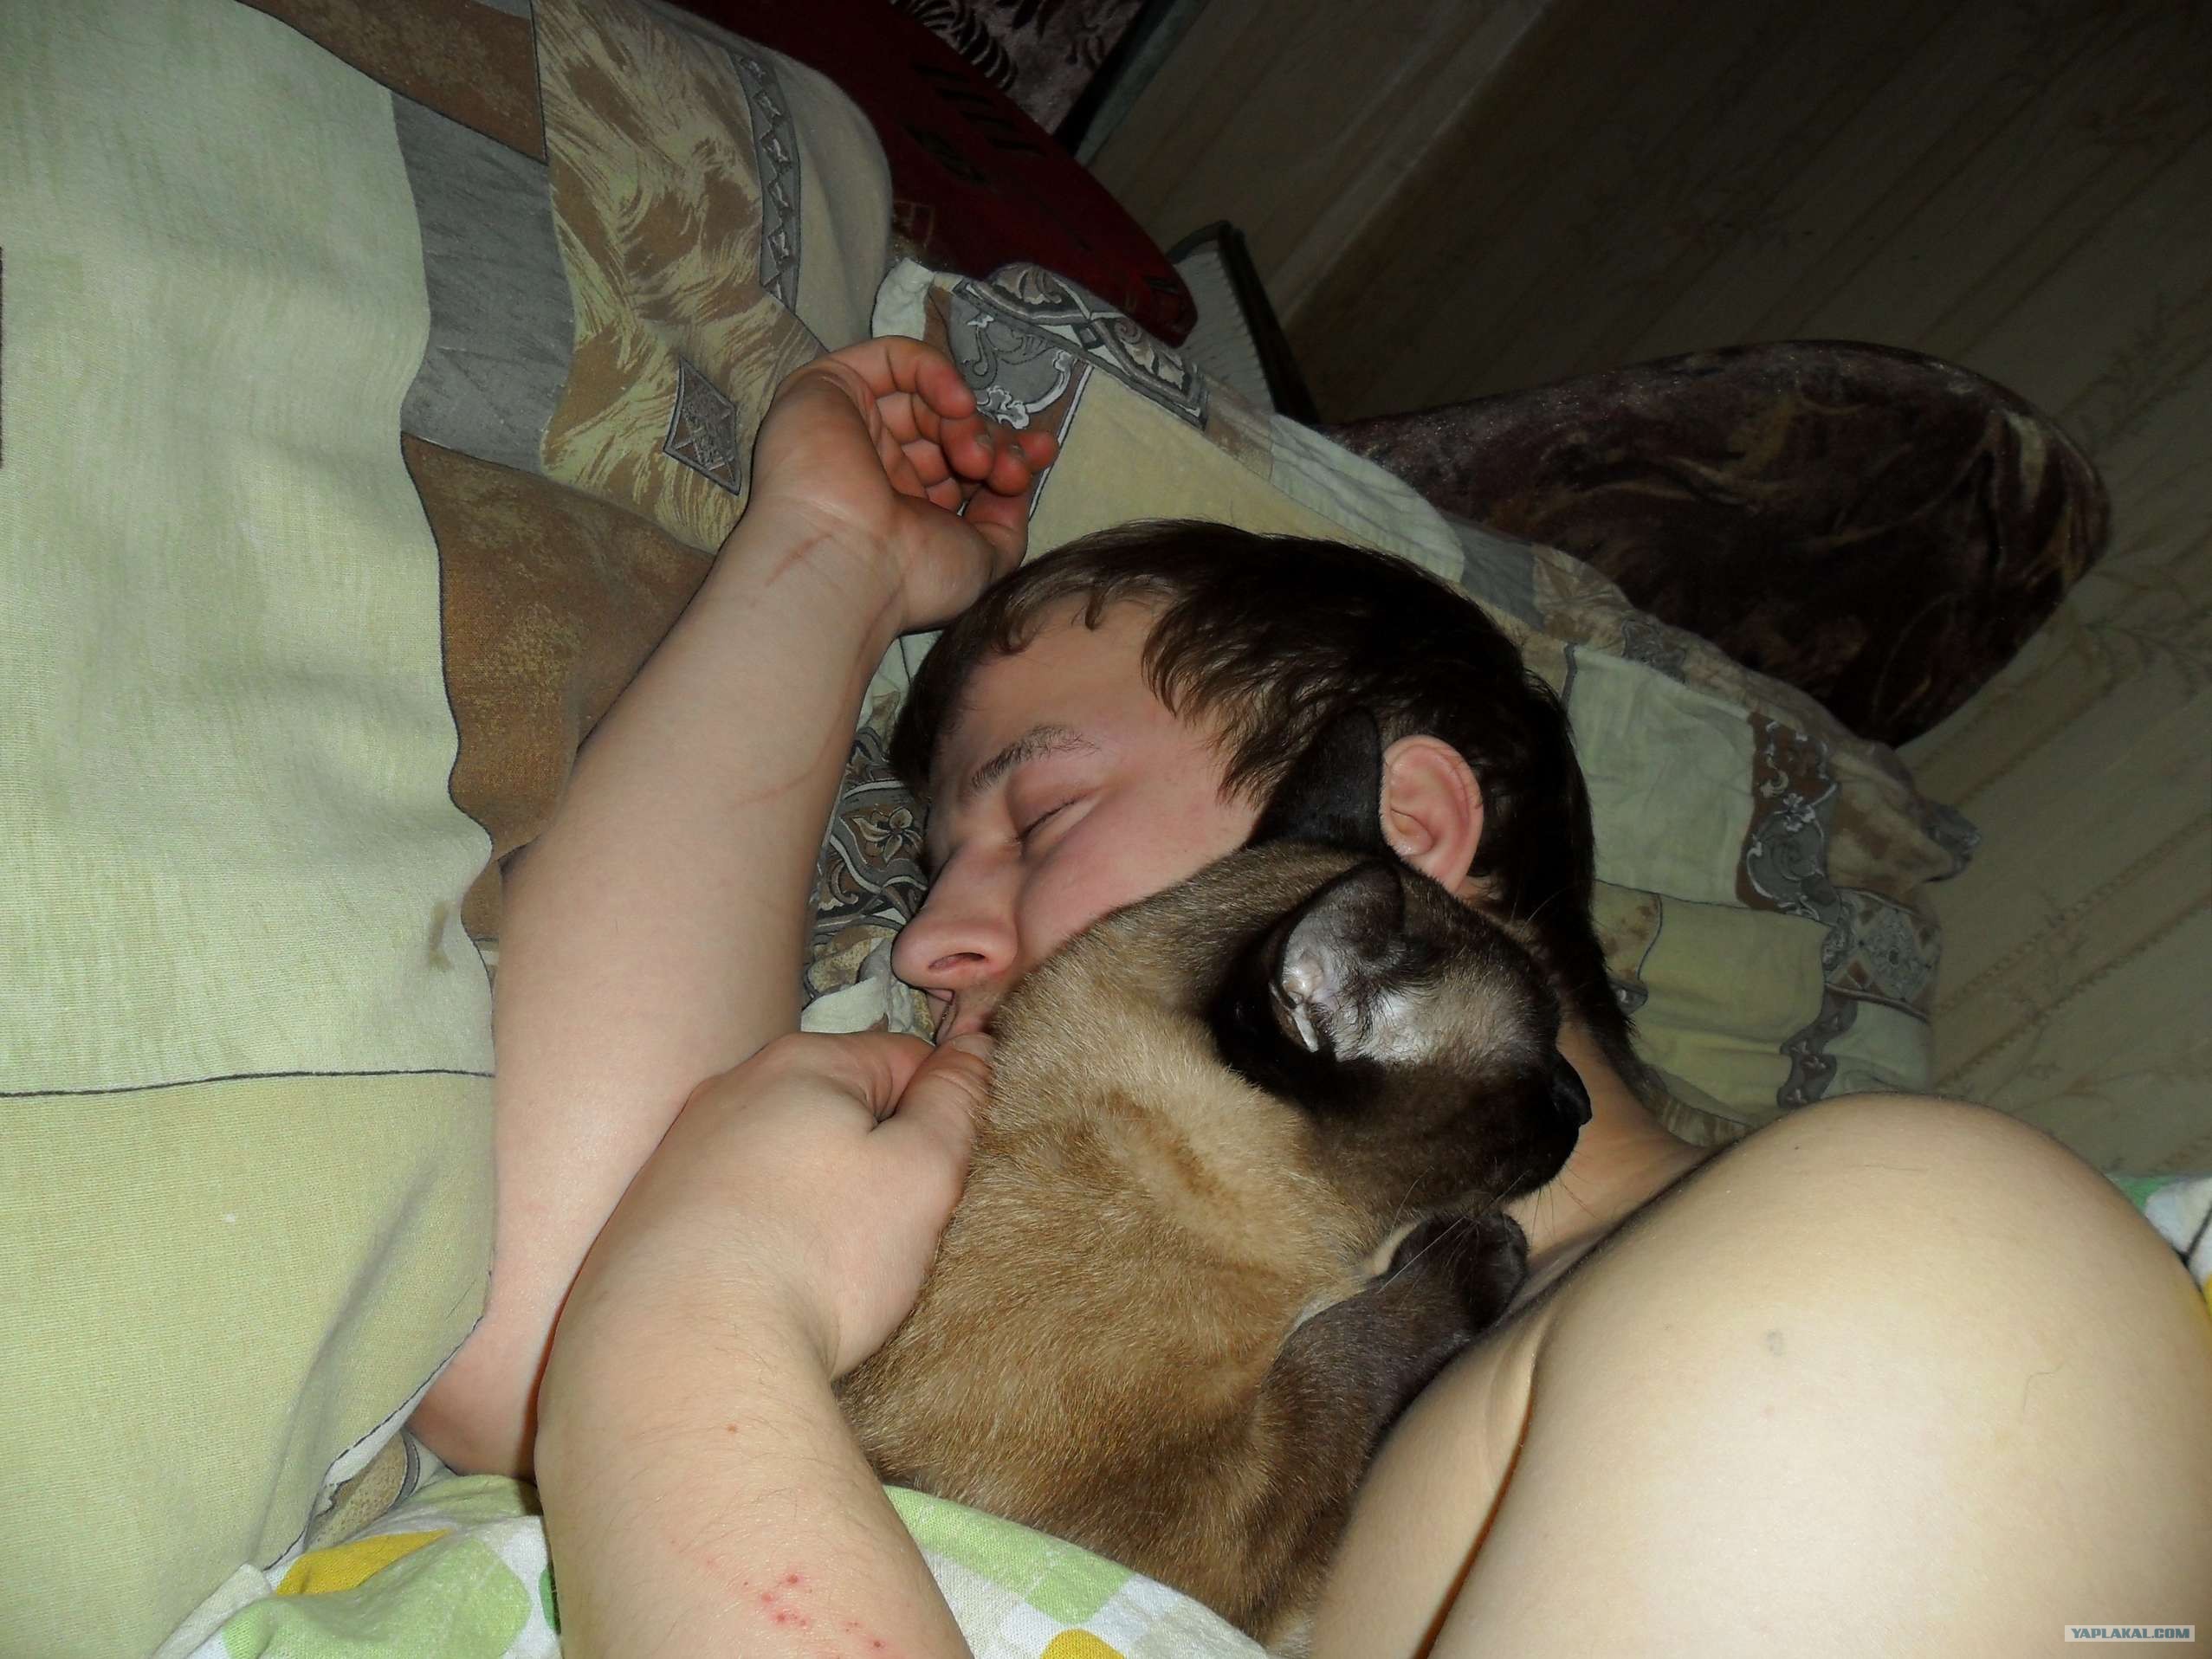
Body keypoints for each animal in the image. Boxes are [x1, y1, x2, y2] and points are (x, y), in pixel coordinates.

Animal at [840, 713, 1590, 1651]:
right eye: (1536, 1068)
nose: (1582, 1099)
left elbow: (1337, 1344)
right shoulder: (1184, 1523)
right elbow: (1342, 1351)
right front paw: (1480, 1248)